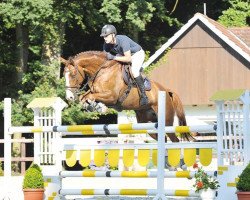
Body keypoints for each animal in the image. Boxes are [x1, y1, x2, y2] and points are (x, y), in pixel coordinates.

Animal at [61, 51, 193, 142]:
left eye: (73, 74)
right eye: (63, 75)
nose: (69, 98)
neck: (103, 71)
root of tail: (168, 91)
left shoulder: (112, 96)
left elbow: (88, 97)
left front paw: (97, 107)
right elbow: (84, 97)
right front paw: (95, 107)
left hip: (166, 121)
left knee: (174, 140)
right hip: (146, 122)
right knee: (162, 138)